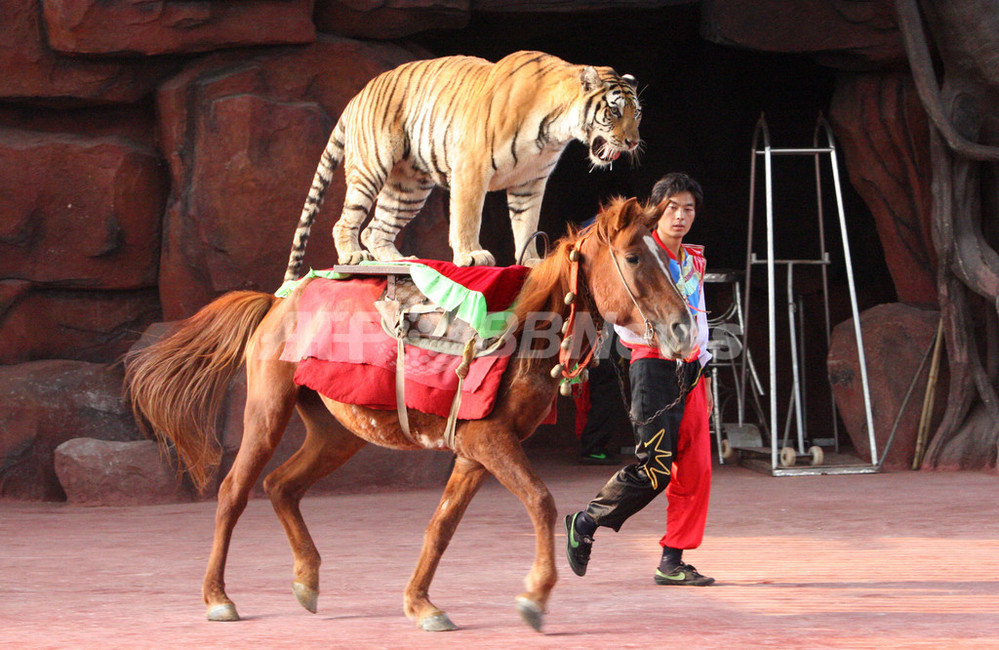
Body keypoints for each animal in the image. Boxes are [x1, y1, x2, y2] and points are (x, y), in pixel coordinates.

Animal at [125, 195, 696, 632]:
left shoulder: (475, 449)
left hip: (337, 432)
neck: (519, 333)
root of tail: (275, 302)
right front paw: (535, 596)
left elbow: (441, 525)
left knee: (281, 486)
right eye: (635, 258)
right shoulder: (490, 441)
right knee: (234, 492)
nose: (682, 329)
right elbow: (542, 501)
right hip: (268, 411)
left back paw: (307, 581)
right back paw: (218, 597)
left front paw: (421, 604)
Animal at [284, 49, 640, 282]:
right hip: (372, 168)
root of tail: (358, 94)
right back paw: (352, 255)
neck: (555, 130)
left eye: (636, 114)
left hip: (408, 188)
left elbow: (526, 223)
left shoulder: (530, 181)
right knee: (345, 221)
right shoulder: (472, 164)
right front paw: (471, 255)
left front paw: (532, 261)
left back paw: (401, 261)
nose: (633, 142)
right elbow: (468, 215)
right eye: (613, 111)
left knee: (376, 228)